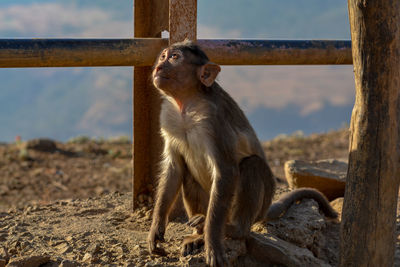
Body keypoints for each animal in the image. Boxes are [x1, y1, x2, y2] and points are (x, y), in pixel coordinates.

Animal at [147, 40, 338, 267]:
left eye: (175, 57)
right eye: (163, 56)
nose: (159, 67)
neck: (186, 103)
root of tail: (264, 209)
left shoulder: (214, 120)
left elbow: (226, 171)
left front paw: (213, 241)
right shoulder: (168, 117)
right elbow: (174, 168)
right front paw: (156, 229)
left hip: (250, 205)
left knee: (251, 165)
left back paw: (231, 230)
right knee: (188, 173)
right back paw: (197, 234)